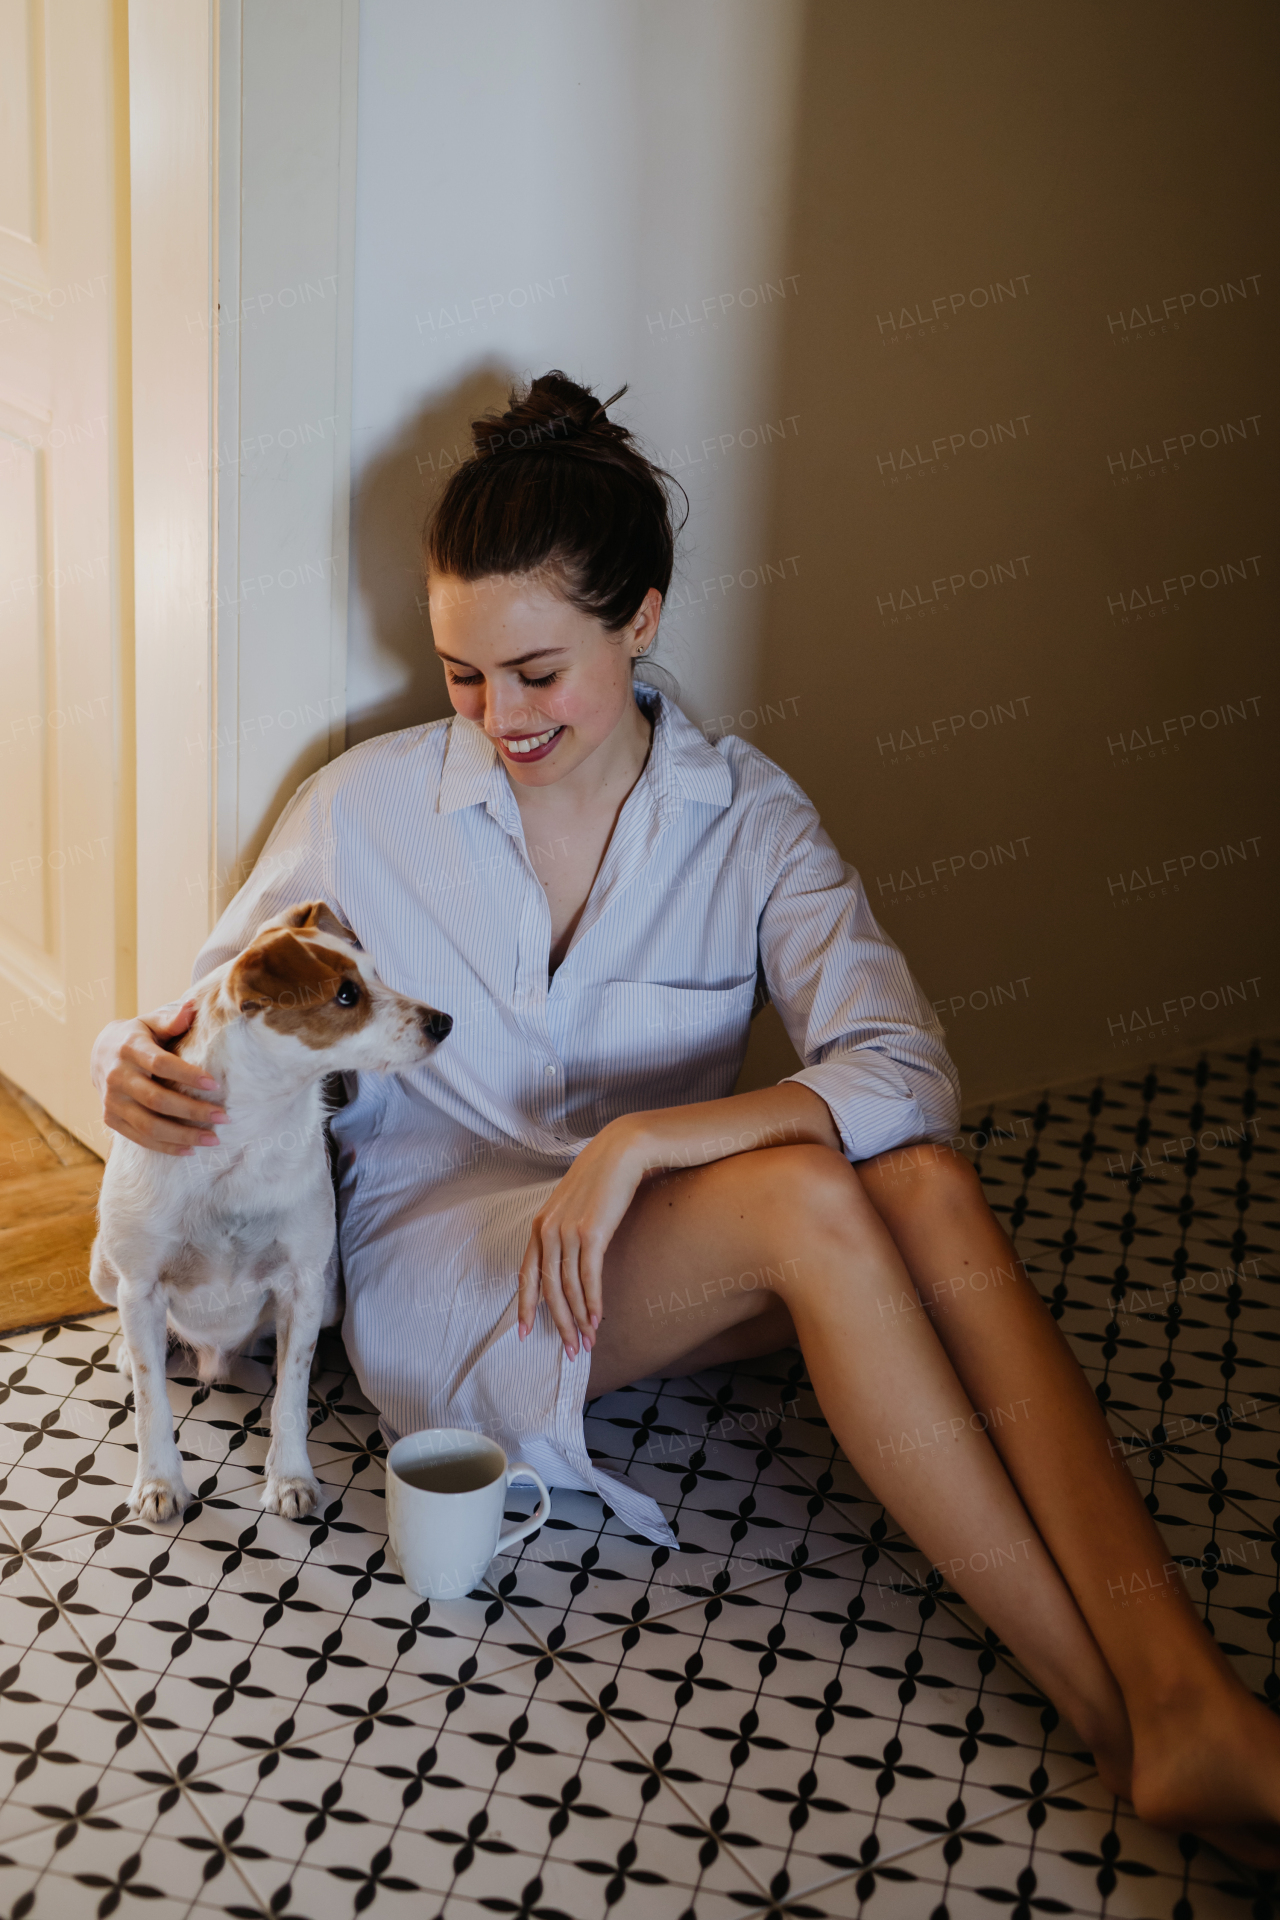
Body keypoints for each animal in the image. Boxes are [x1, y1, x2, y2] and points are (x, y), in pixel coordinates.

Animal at [91, 906, 450, 1520]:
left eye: (375, 975)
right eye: (347, 994)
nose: (444, 1021)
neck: (247, 1137)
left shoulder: (304, 1283)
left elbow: (290, 1398)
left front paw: (290, 1478)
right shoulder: (140, 1285)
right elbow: (151, 1402)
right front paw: (159, 1482)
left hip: (332, 1293)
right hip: (103, 1267)